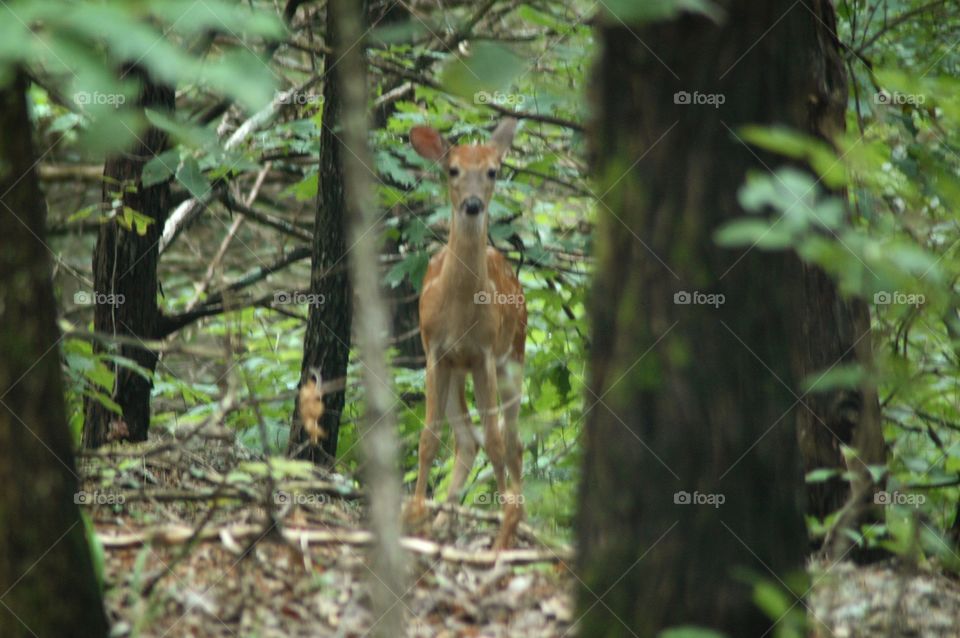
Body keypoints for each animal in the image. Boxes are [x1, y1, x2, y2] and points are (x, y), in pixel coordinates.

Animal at [405, 118, 527, 550]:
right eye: (453, 169)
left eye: (493, 171)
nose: (472, 205)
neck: (459, 310)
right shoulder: (436, 352)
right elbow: (428, 437)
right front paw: (416, 515)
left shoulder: (485, 354)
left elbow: (496, 440)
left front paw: (505, 528)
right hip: (458, 371)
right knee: (466, 438)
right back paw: (443, 519)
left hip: (514, 357)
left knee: (510, 440)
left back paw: (513, 520)